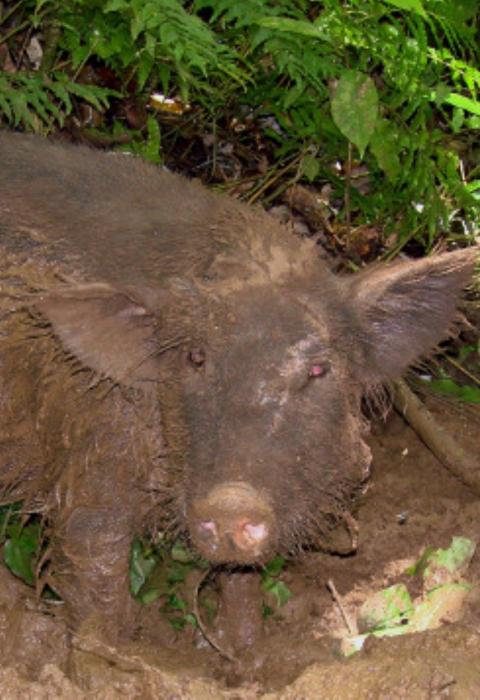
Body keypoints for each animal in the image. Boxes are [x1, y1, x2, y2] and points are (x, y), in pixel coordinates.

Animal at [0, 132, 476, 635]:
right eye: (195, 358)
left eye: (317, 370)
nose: (232, 502)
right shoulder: (91, 450)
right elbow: (93, 554)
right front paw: (111, 644)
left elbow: (241, 577)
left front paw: (243, 648)